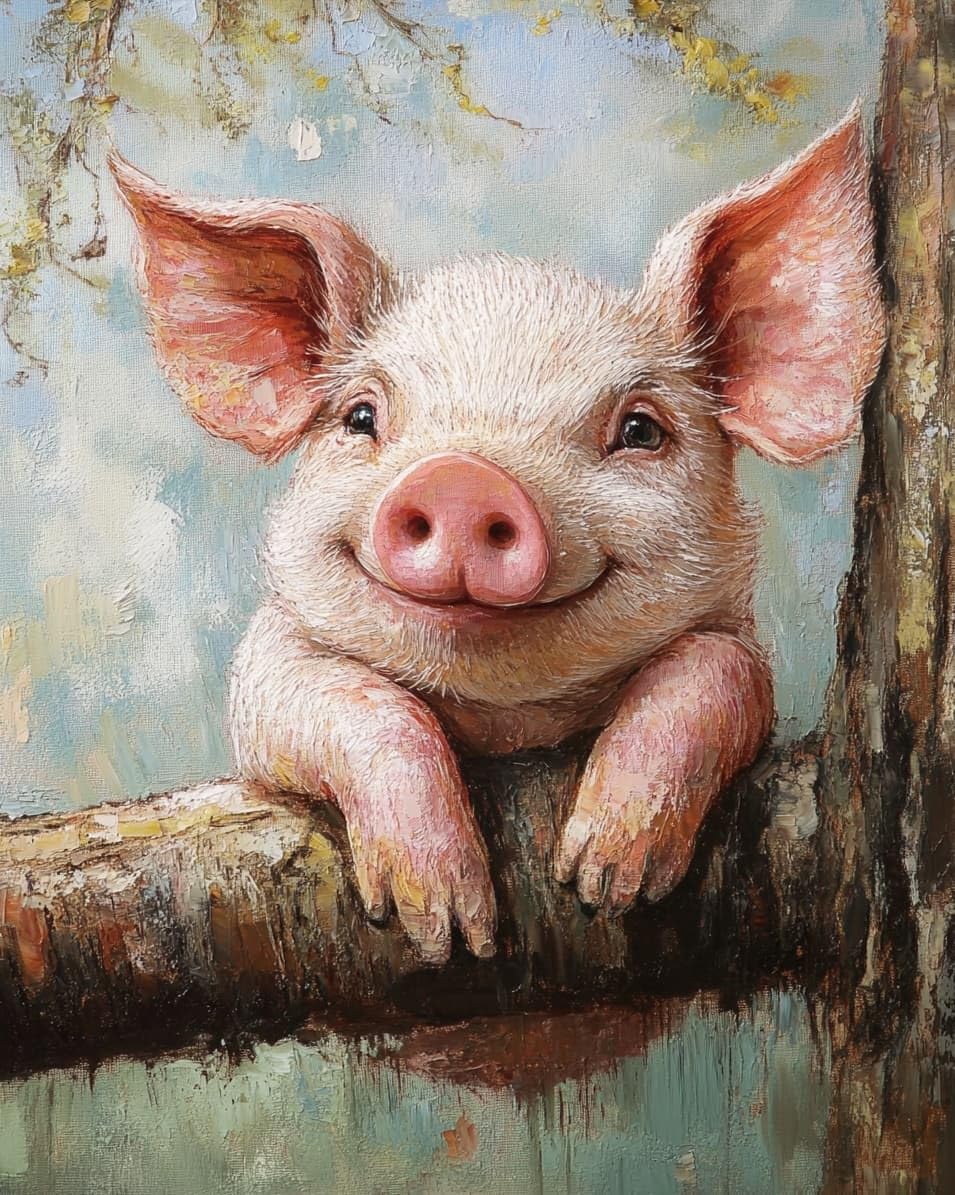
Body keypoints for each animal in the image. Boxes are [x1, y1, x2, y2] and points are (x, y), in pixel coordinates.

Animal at [110, 107, 884, 964]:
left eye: (640, 430)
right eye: (361, 416)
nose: (460, 477)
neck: (509, 726)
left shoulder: (741, 645)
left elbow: (718, 671)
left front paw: (602, 880)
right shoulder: (263, 675)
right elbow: (354, 700)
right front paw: (446, 927)